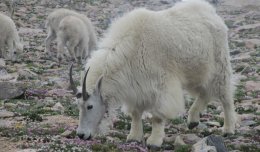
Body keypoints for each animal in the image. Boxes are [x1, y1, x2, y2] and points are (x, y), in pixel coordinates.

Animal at [69, 0, 236, 147]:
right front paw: (134, 137)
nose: (81, 135)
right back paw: (193, 121)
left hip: (220, 65)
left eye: (90, 106)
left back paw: (228, 129)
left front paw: (154, 141)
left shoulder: (162, 84)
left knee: (225, 96)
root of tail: (211, 12)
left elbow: (157, 116)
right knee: (205, 92)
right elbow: (135, 113)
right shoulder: (135, 86)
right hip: (196, 70)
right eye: (78, 105)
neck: (130, 49)